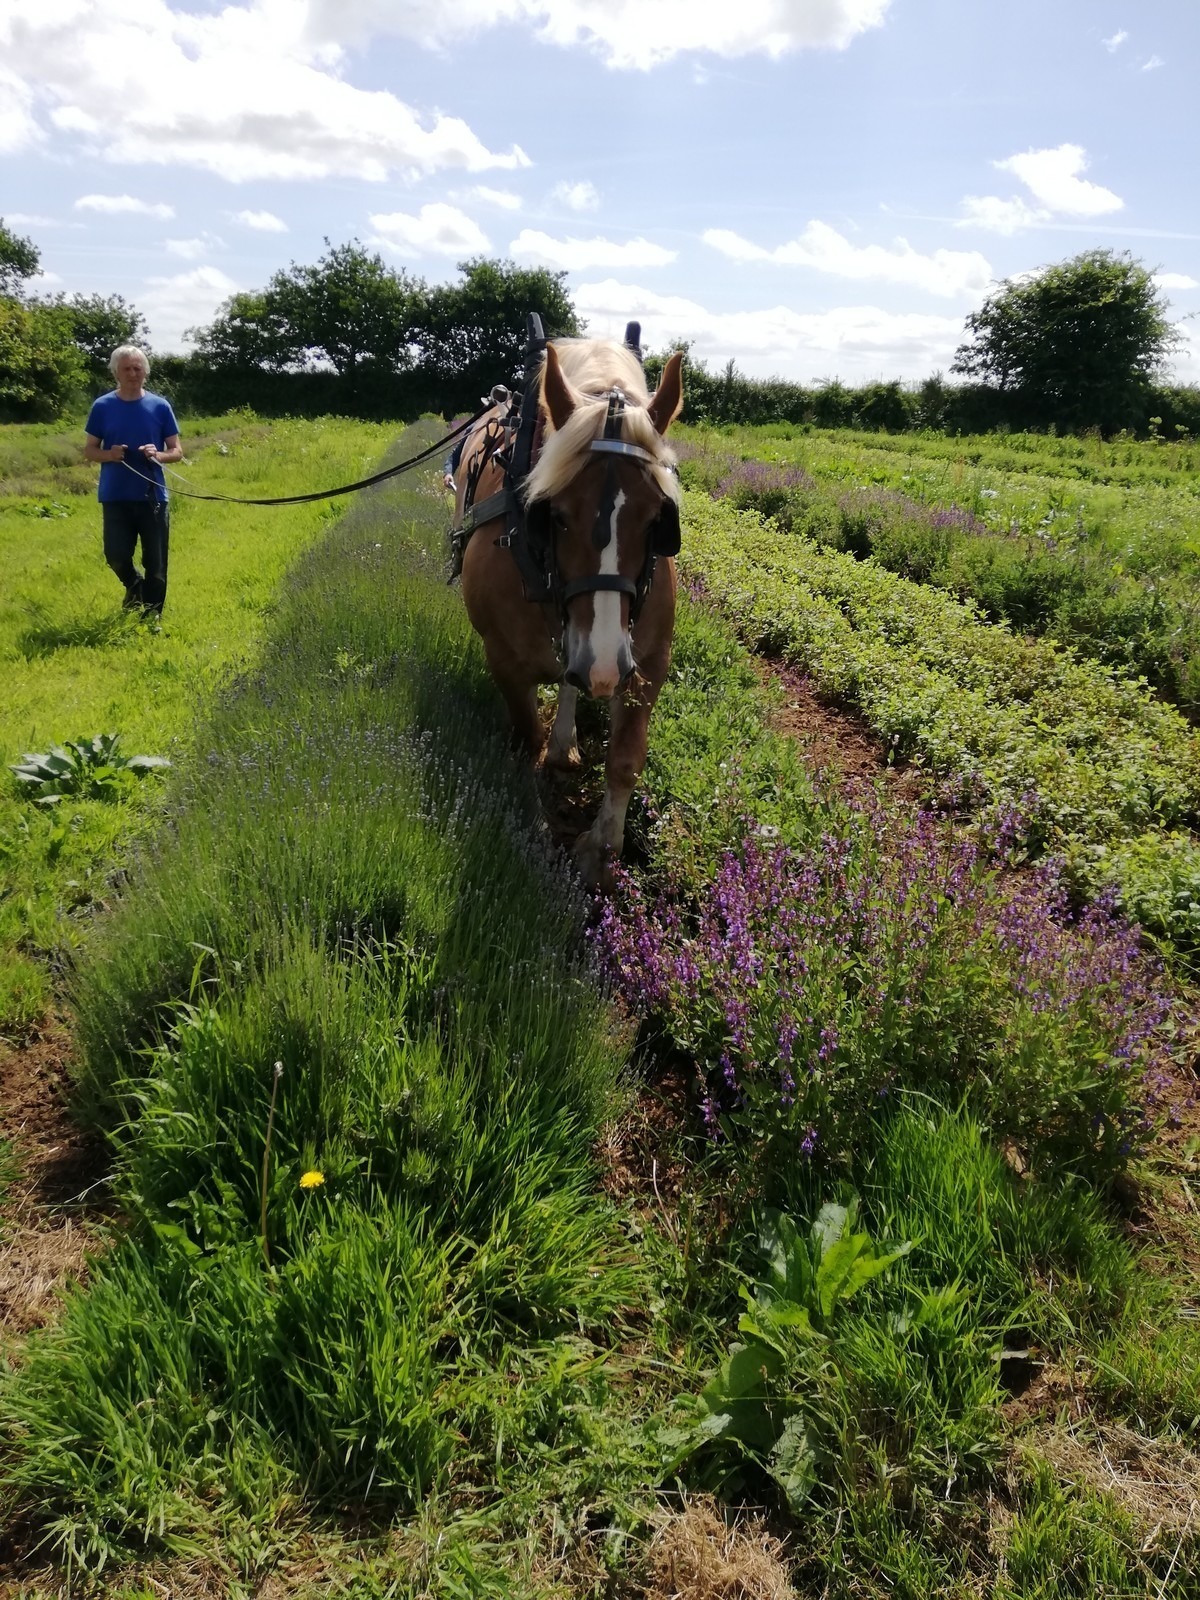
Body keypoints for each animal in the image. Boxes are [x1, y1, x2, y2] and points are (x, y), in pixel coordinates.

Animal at [454, 339, 681, 889]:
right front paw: (530, 832)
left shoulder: (647, 662)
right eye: (553, 514)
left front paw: (601, 853)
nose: (602, 666)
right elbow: (524, 741)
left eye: (656, 518)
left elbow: (625, 759)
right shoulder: (506, 662)